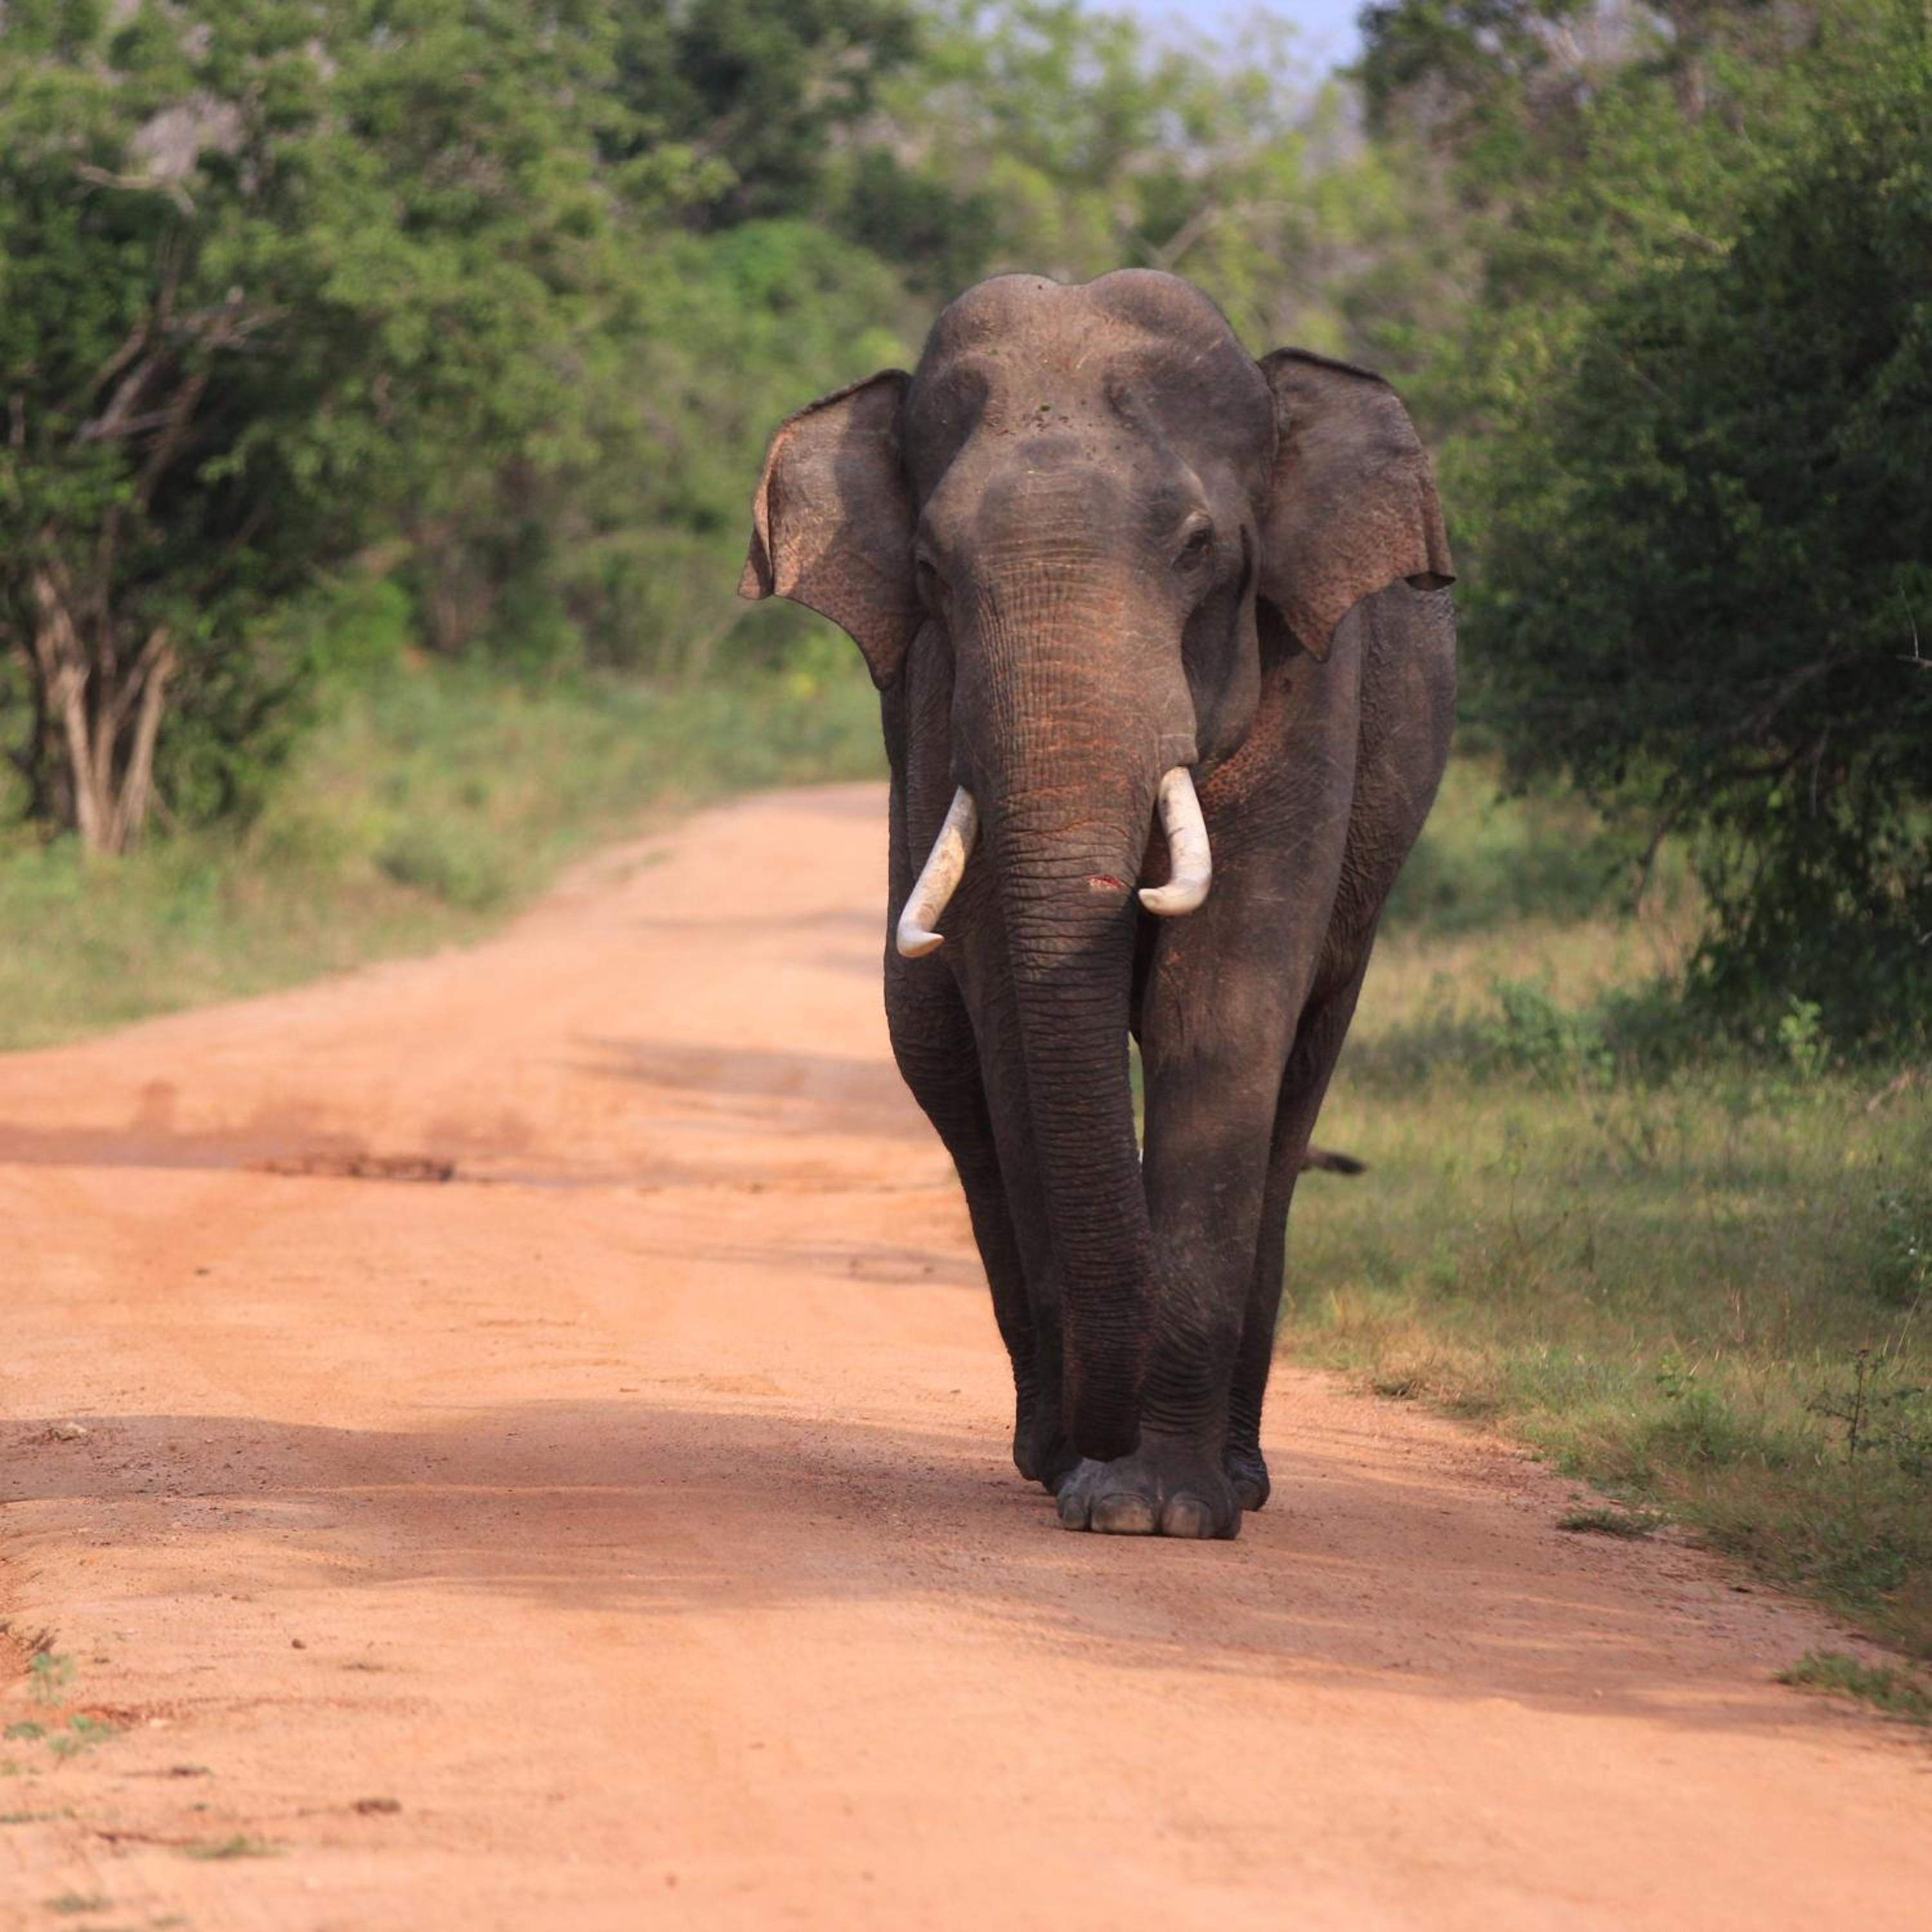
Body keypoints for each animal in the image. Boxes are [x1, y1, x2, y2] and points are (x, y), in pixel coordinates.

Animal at [740, 270, 1454, 1539]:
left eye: (1200, 548)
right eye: (931, 569)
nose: (1098, 1451)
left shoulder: (1306, 684)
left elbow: (1218, 1015)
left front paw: (1158, 1513)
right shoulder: (942, 713)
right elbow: (1013, 1023)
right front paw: (1095, 1480)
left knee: (1294, 1090)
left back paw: (1236, 1478)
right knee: (938, 1057)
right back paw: (1045, 1447)